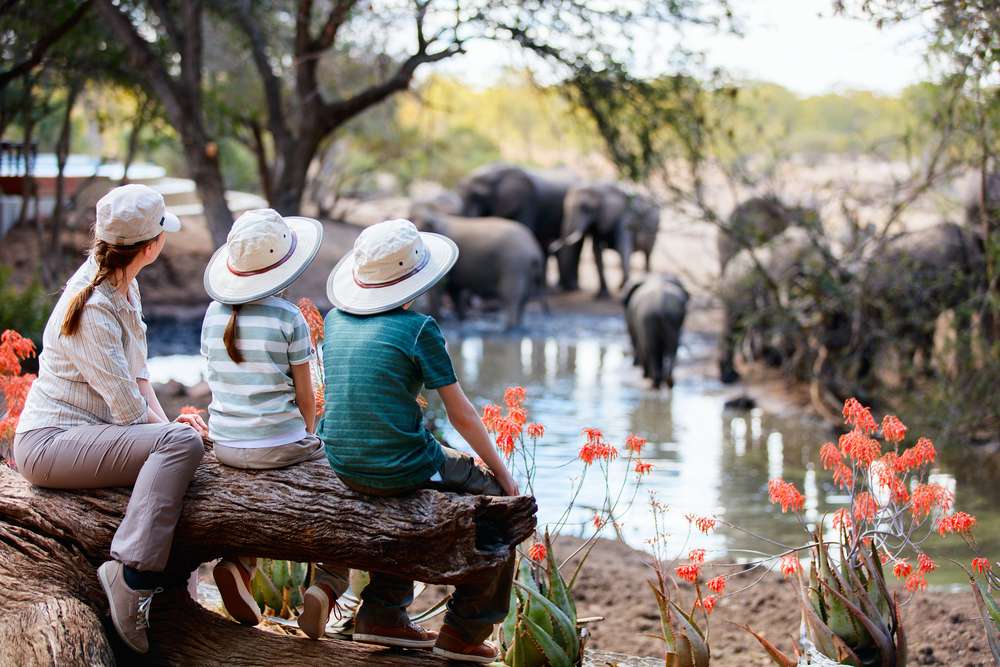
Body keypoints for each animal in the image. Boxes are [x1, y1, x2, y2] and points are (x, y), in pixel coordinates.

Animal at [409, 204, 546, 331]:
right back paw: (517, 326)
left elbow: (440, 289)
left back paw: (508, 328)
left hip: (514, 264)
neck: (436, 215)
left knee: (511, 295)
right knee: (524, 297)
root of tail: (535, 250)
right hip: (525, 269)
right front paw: (462, 319)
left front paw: (440, 319)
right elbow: (454, 290)